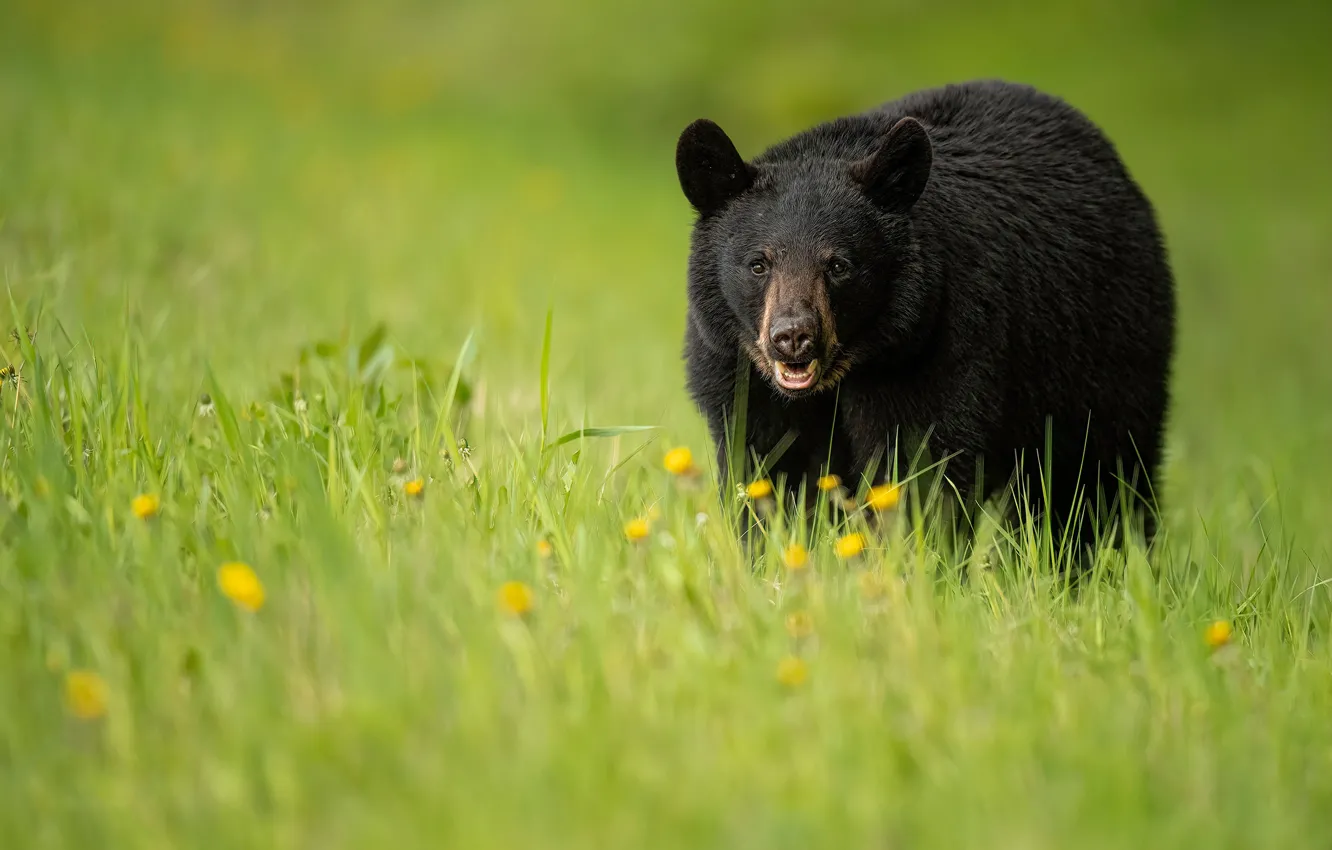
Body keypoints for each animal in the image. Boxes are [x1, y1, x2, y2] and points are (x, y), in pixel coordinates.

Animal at [676, 79, 1177, 554]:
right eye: (758, 264)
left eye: (838, 265)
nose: (794, 336)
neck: (846, 373)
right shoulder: (739, 373)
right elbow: (767, 472)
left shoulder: (936, 347)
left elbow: (919, 468)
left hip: (1104, 352)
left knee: (1103, 478)